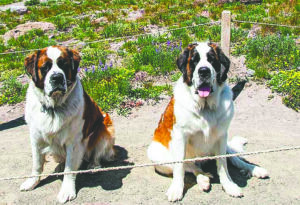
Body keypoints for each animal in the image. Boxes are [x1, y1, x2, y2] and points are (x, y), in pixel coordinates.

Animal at [19, 45, 115, 203]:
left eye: (63, 64)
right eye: (45, 67)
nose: (57, 77)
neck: (54, 107)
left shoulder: (73, 142)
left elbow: (69, 169)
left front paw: (67, 191)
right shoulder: (36, 138)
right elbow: (37, 164)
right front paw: (32, 182)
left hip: (105, 129)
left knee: (97, 153)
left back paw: (94, 165)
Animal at [147, 42, 268, 202]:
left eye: (211, 59)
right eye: (194, 61)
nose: (203, 71)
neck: (205, 106)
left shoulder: (222, 135)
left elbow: (223, 165)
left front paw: (229, 185)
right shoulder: (180, 137)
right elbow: (179, 168)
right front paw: (176, 189)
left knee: (234, 159)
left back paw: (254, 169)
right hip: (156, 154)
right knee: (190, 167)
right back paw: (203, 179)